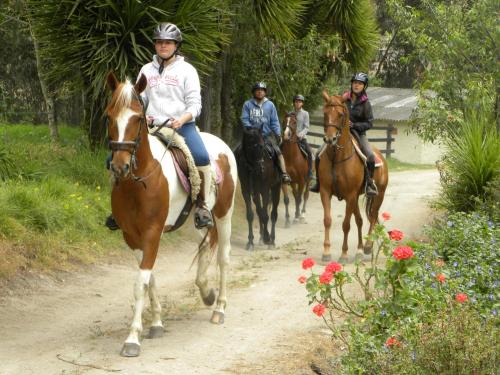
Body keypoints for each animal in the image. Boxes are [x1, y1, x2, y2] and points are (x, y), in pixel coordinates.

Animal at [106, 73, 238, 358]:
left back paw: (219, 308)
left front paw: (132, 339)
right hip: (198, 220)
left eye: (137, 118)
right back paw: (206, 291)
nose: (120, 166)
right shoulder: (132, 237)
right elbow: (149, 279)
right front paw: (156, 323)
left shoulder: (152, 233)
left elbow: (140, 283)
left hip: (224, 215)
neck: (139, 182)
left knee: (223, 258)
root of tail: (222, 145)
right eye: (109, 116)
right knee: (205, 245)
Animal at [318, 91, 388, 264]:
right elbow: (328, 220)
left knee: (373, 216)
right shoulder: (325, 192)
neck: (337, 158)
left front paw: (343, 254)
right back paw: (359, 250)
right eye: (325, 113)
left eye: (340, 114)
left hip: (379, 195)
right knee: (360, 220)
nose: (330, 139)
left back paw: (368, 246)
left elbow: (346, 224)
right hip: (356, 198)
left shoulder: (350, 195)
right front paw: (326, 252)